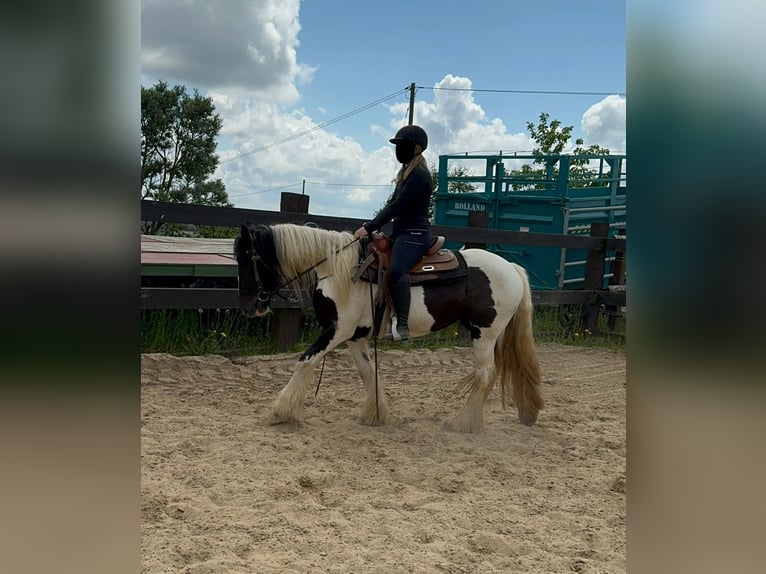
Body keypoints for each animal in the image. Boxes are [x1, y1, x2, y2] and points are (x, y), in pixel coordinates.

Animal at [237, 220, 544, 432]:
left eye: (247, 258)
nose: (249, 306)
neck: (338, 270)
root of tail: (512, 268)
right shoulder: (356, 336)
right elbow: (367, 372)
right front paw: (374, 414)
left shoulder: (335, 331)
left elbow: (304, 361)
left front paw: (280, 412)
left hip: (485, 334)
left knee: (485, 374)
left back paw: (461, 424)